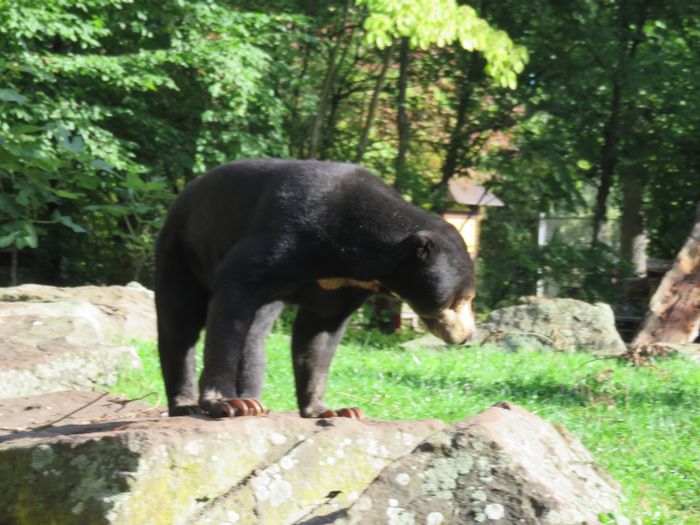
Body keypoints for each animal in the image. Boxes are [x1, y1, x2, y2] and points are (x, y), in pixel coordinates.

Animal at [157, 159, 476, 418]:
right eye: (459, 301)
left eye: (468, 299)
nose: (467, 336)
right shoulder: (285, 234)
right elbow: (232, 298)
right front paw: (227, 403)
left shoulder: (341, 286)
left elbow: (318, 336)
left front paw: (332, 410)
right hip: (182, 248)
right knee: (179, 322)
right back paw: (190, 404)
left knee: (253, 339)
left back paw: (255, 400)